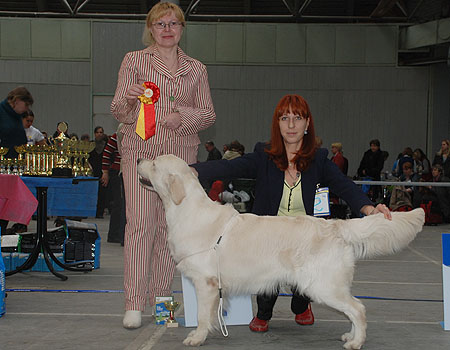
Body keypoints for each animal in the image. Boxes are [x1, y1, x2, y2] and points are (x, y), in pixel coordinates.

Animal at [137, 154, 426, 348]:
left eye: (154, 164)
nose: (139, 157)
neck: (186, 209)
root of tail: (335, 225)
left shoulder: (205, 282)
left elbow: (200, 315)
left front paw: (196, 337)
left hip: (322, 286)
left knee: (358, 308)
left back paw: (356, 342)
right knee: (354, 310)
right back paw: (351, 336)